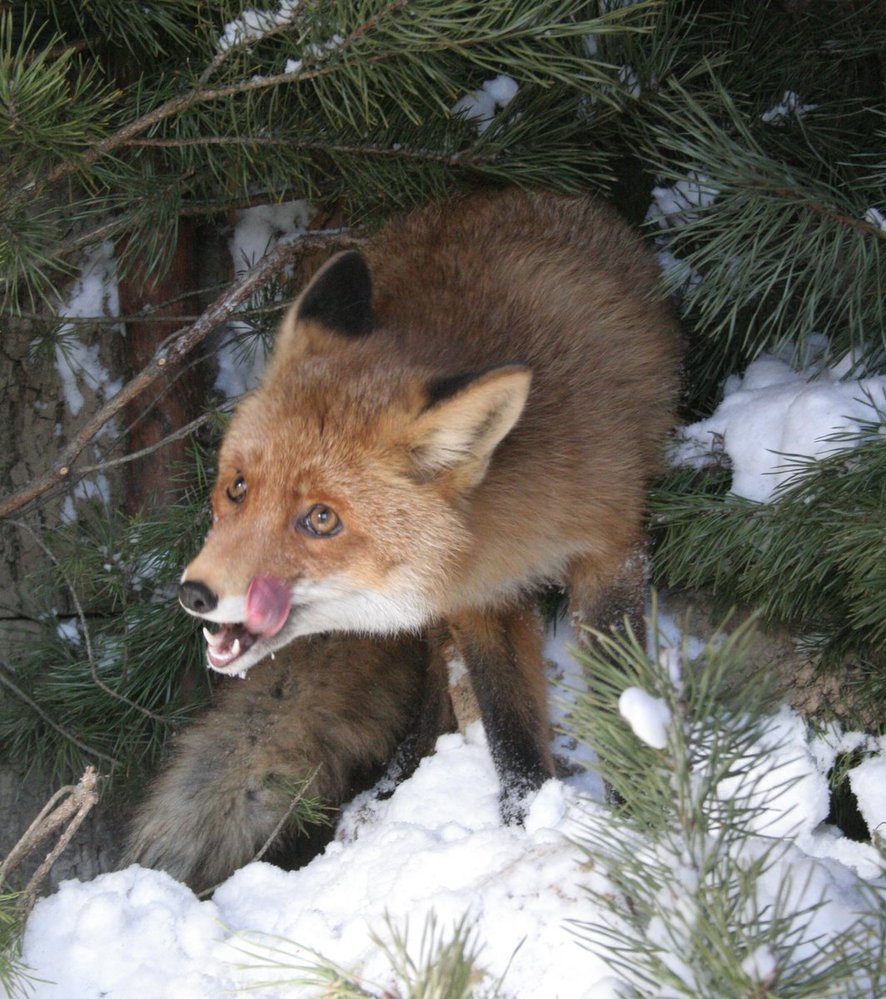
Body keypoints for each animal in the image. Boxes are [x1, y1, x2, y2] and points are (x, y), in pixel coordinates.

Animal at [179, 188, 680, 820]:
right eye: (238, 487)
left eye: (321, 518)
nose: (195, 593)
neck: (515, 527)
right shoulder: (476, 601)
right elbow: (509, 727)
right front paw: (526, 819)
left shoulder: (610, 548)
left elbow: (620, 690)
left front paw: (640, 814)